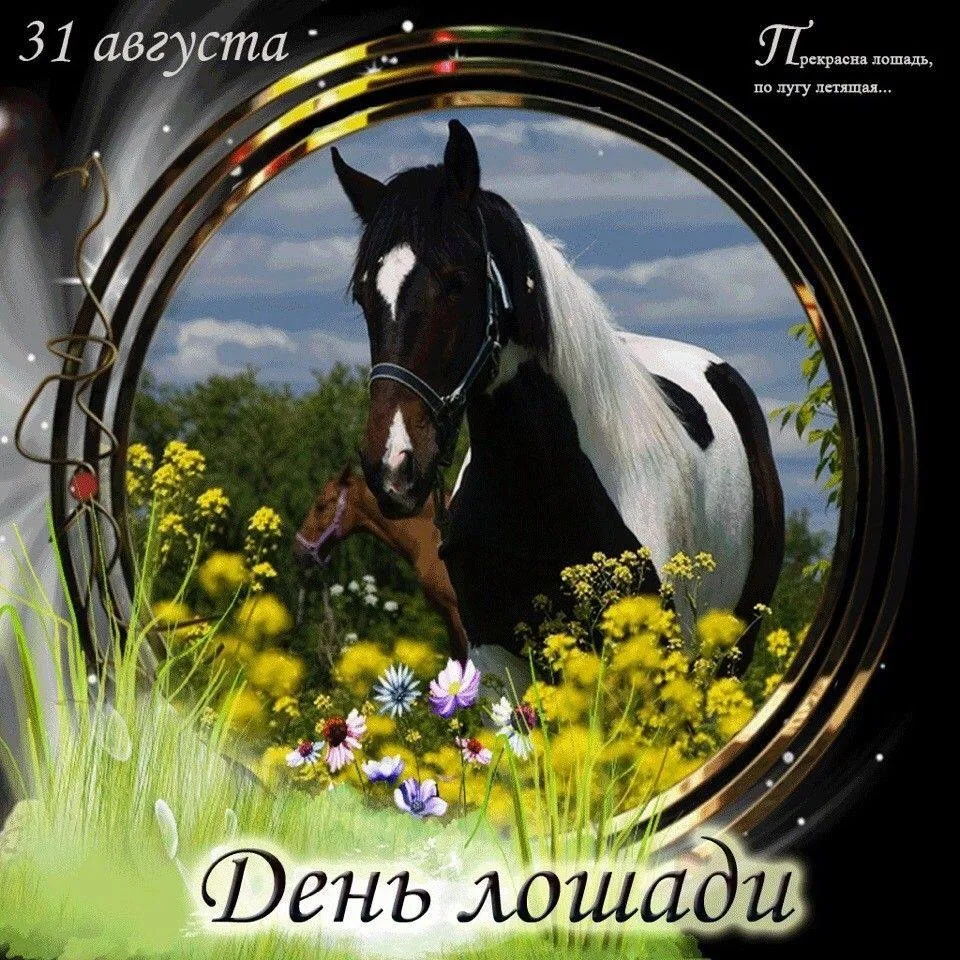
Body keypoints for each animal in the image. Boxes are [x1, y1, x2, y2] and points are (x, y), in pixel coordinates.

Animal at [330, 119, 784, 683]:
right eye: (363, 295)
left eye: (456, 282)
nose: (394, 467)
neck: (545, 492)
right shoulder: (496, 655)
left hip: (733, 648)